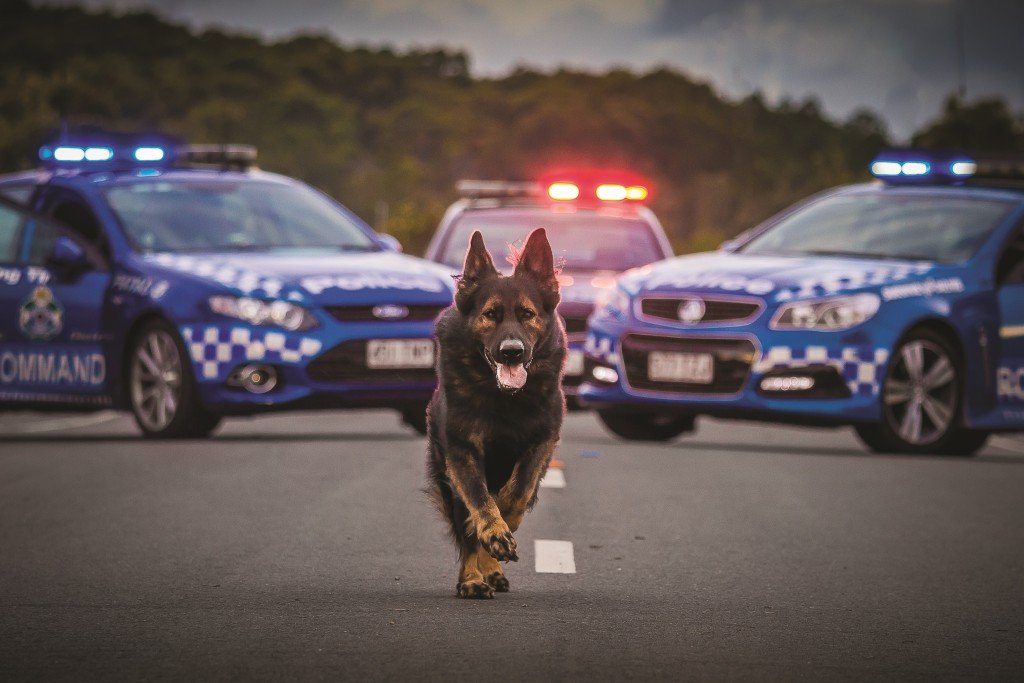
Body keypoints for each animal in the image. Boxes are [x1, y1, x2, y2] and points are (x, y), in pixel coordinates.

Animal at [425, 228, 569, 598]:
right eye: (491, 314)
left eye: (527, 314)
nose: (512, 352)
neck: (504, 398)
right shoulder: (461, 451)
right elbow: (479, 503)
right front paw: (493, 534)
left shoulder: (540, 442)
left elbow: (517, 492)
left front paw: (505, 522)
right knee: (467, 526)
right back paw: (474, 579)